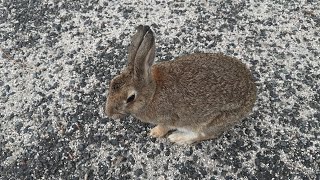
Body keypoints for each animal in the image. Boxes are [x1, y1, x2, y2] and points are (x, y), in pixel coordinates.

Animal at [105, 25, 258, 145]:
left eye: (130, 98)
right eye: (112, 83)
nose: (109, 113)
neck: (153, 92)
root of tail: (253, 96)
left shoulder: (167, 118)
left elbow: (164, 127)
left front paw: (154, 133)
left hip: (211, 121)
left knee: (203, 135)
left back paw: (178, 138)